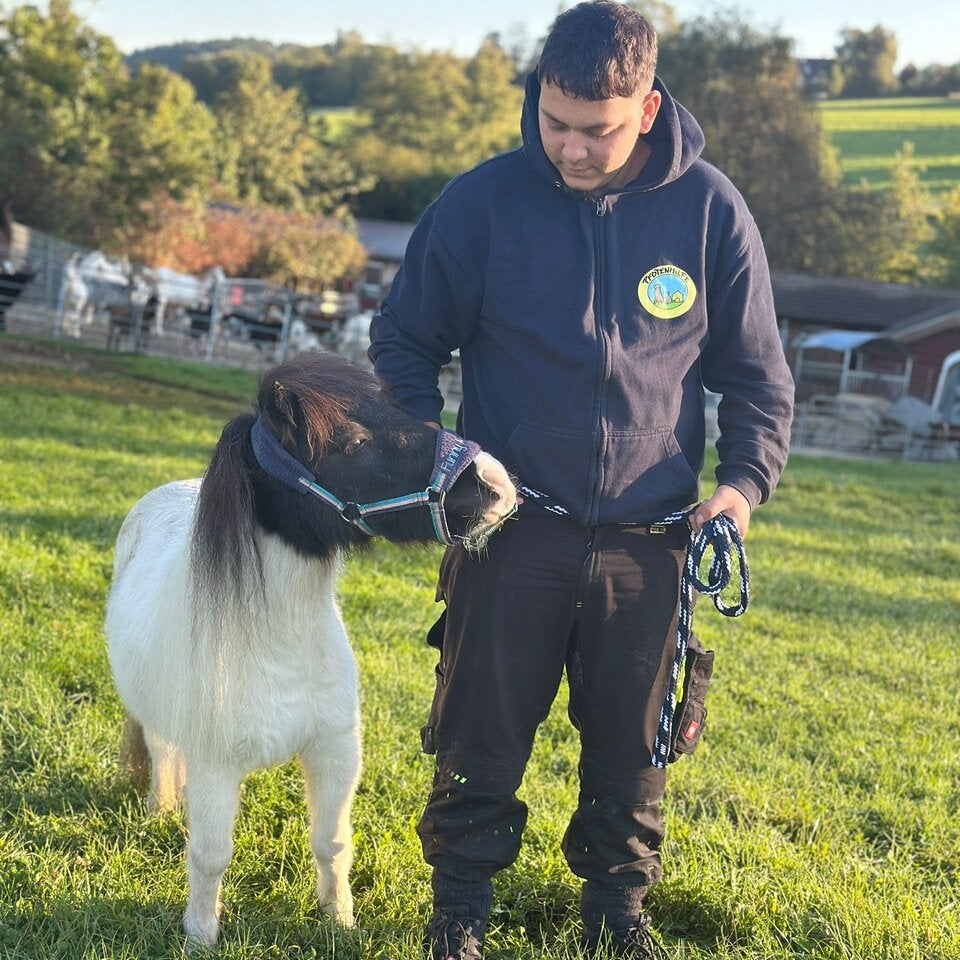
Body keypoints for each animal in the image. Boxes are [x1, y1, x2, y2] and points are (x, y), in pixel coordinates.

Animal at [104, 351, 517, 950]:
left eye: (397, 407)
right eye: (350, 441)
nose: (497, 485)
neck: (276, 643)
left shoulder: (335, 753)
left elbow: (333, 843)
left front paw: (339, 921)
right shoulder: (216, 766)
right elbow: (210, 856)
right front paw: (200, 937)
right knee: (161, 752)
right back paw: (161, 810)